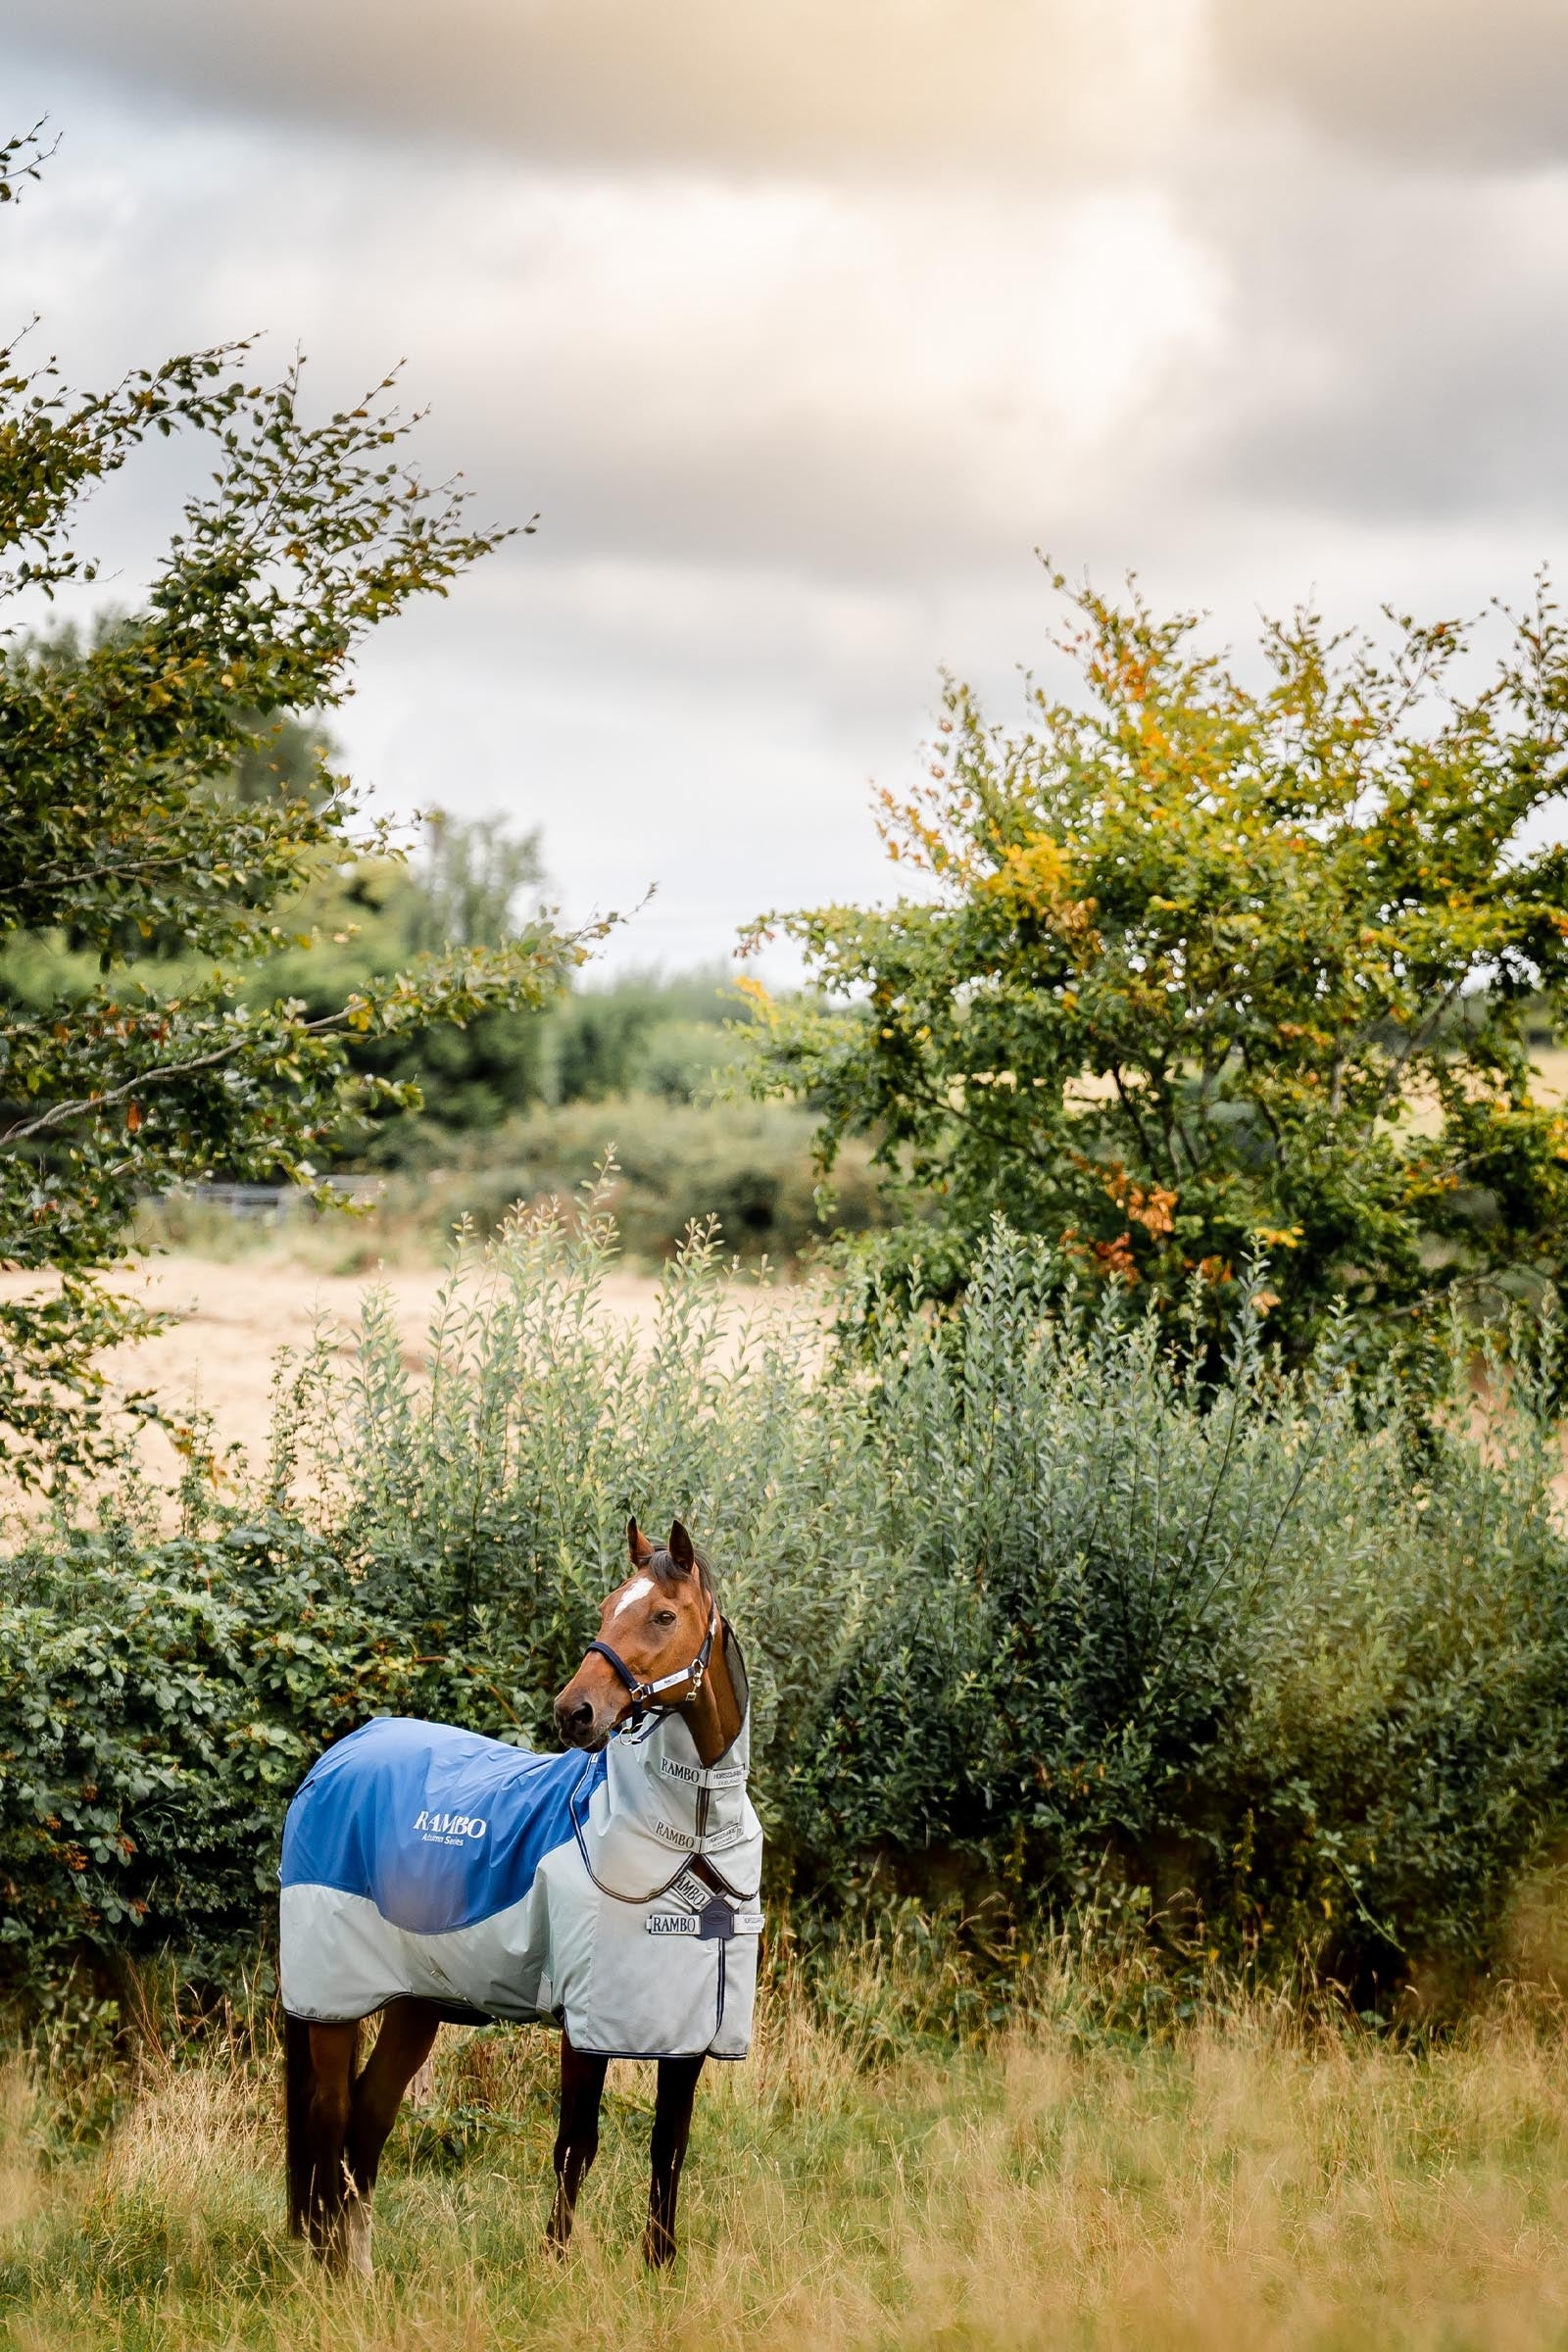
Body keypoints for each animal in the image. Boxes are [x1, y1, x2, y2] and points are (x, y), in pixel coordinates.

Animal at [280, 1517, 760, 2274]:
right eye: (606, 1607)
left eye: (663, 1615)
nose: (574, 1713)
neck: (690, 1836)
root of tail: (335, 1759)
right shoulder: (586, 2024)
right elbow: (575, 2147)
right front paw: (556, 2266)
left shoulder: (685, 2030)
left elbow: (669, 2149)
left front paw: (659, 2267)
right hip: (331, 2003)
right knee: (330, 2123)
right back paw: (332, 2274)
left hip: (415, 2004)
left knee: (368, 2123)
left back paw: (361, 2275)